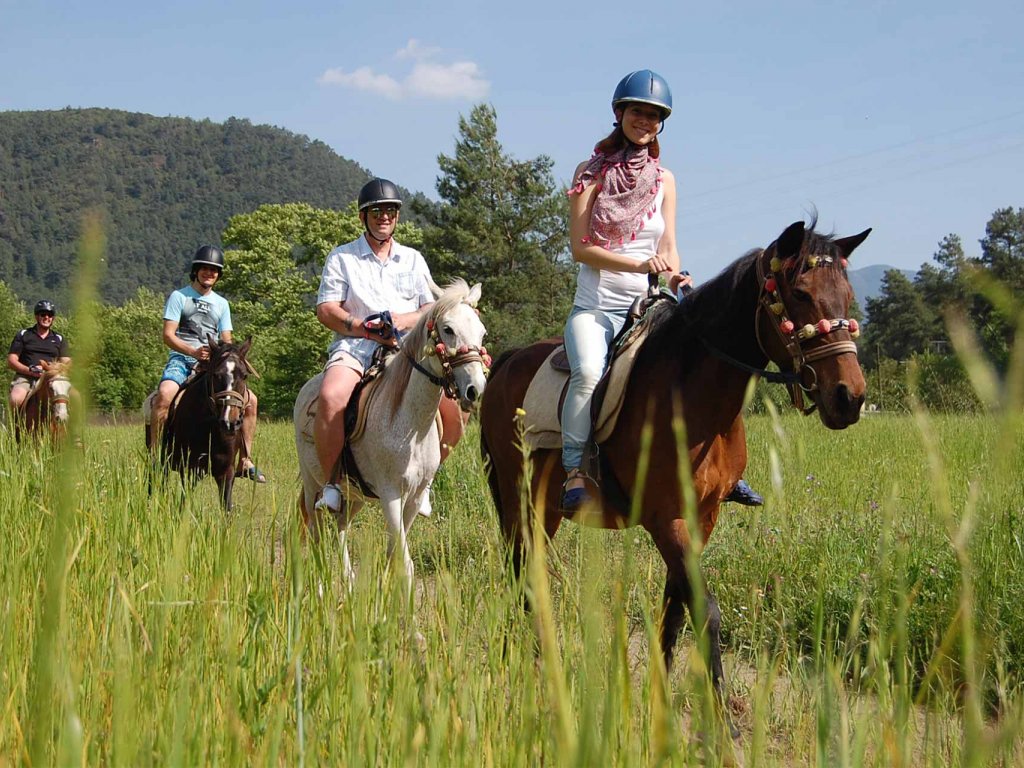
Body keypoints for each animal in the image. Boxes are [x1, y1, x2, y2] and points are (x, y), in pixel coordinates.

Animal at [294, 280, 489, 602]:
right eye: (447, 329)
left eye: (481, 332)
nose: (475, 390)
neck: (410, 425)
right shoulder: (390, 495)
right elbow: (405, 562)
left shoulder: (413, 498)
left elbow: (394, 555)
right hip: (314, 487)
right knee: (316, 533)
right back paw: (320, 588)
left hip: (355, 495)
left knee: (340, 528)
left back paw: (348, 583)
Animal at [479, 218, 872, 733]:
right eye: (801, 293)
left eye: (847, 294)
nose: (849, 397)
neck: (693, 397)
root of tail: (507, 361)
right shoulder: (666, 519)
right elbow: (706, 611)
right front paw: (722, 720)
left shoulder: (702, 517)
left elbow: (675, 610)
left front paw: (661, 700)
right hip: (518, 496)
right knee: (520, 568)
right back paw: (526, 657)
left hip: (543, 506)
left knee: (532, 570)